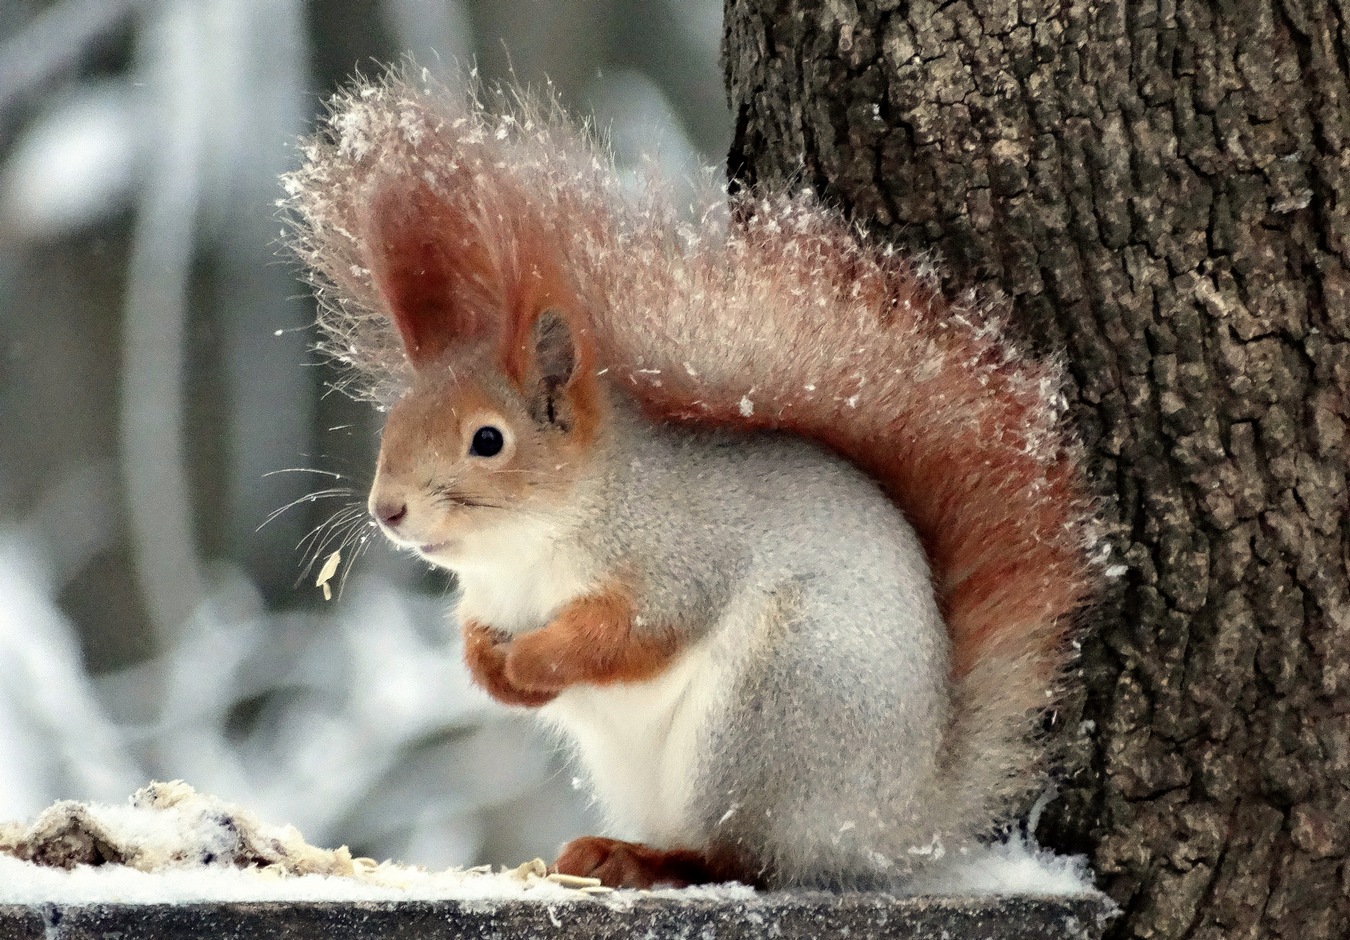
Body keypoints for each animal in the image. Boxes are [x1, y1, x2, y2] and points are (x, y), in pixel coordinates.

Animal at [281, 72, 1099, 891]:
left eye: (488, 440)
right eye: (394, 424)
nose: (387, 510)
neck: (529, 549)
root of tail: (898, 826)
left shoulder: (681, 563)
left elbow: (627, 635)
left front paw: (533, 660)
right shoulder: (490, 597)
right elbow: (482, 640)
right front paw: (495, 672)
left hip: (764, 720)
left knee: (745, 859)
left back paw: (648, 859)